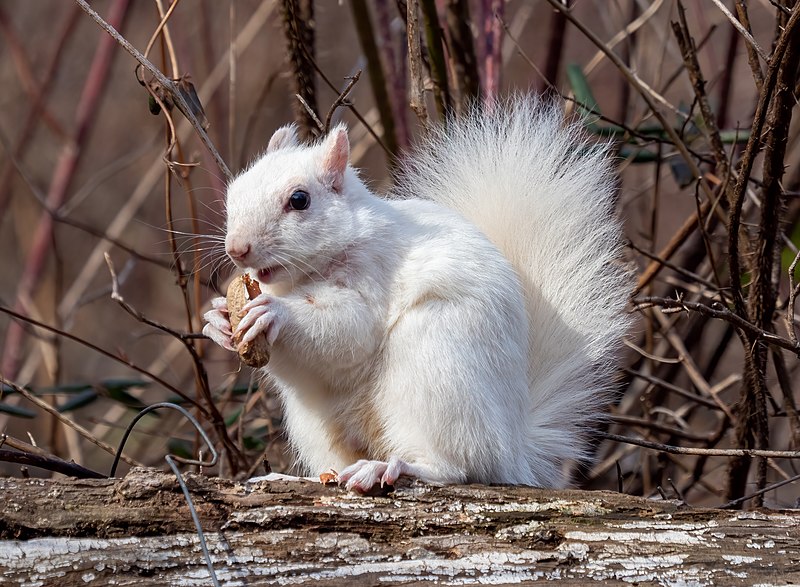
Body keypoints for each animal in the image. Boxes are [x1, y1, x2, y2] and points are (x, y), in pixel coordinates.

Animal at [202, 96, 632, 492]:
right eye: (234, 192)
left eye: (299, 200)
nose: (236, 249)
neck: (302, 277)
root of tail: (514, 452)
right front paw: (219, 319)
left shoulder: (374, 277)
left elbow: (348, 332)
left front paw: (275, 312)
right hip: (317, 425)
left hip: (436, 369)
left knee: (458, 467)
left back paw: (393, 468)